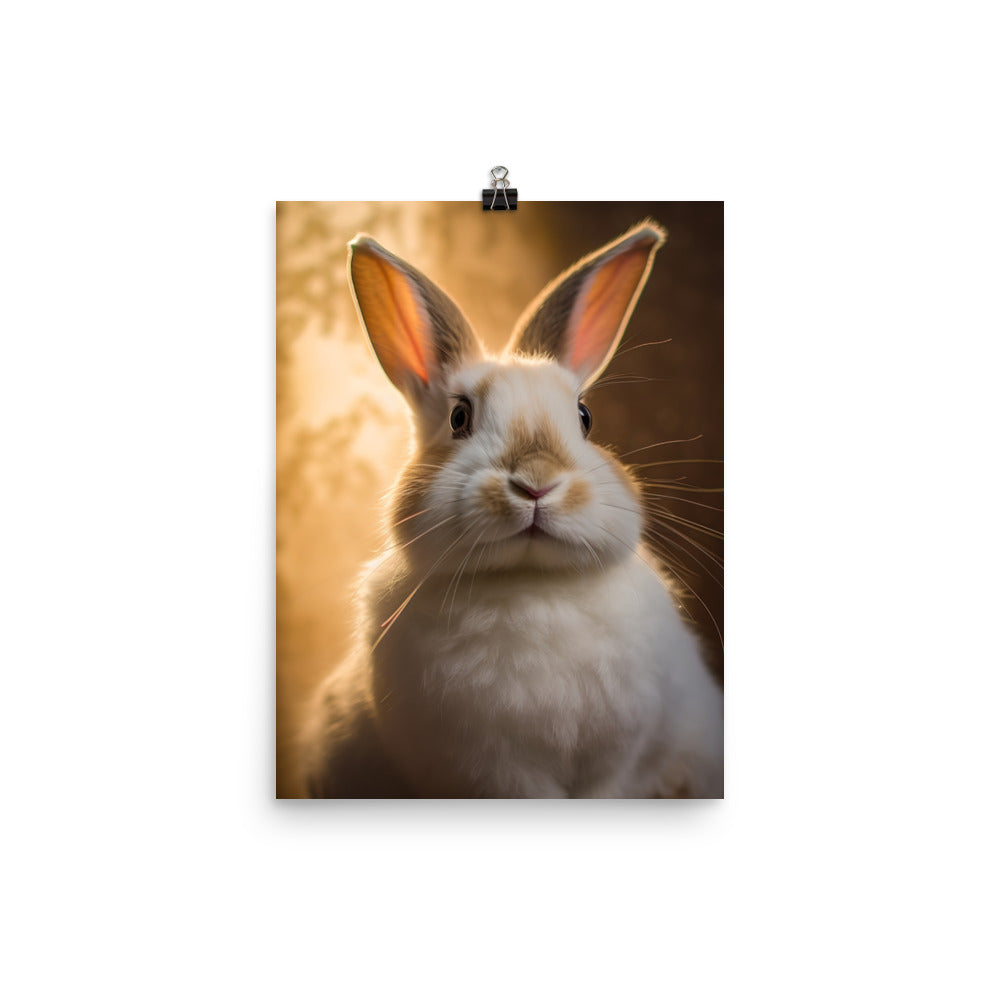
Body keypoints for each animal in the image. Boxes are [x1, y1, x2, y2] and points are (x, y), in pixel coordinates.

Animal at [299, 221, 723, 798]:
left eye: (585, 417)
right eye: (458, 418)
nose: (537, 483)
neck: (532, 584)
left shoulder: (621, 762)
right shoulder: (491, 771)